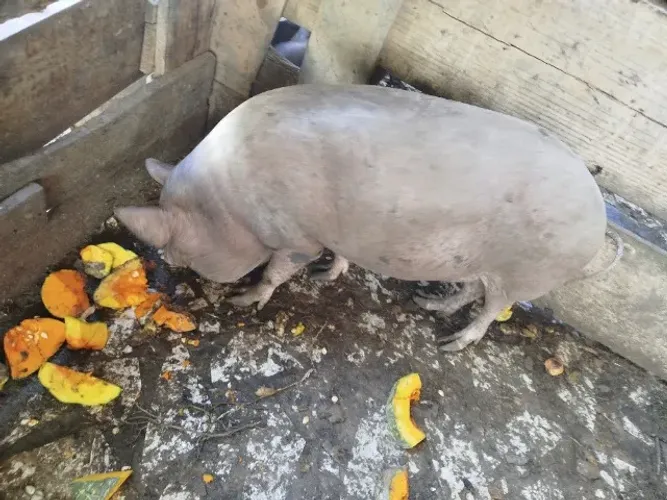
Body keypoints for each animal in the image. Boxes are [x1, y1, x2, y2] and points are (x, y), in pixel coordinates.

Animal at [116, 84, 614, 351]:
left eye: (180, 247)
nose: (167, 267)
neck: (228, 204)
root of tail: (599, 219)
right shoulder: (336, 232)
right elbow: (339, 257)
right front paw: (323, 277)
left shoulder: (297, 237)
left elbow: (277, 271)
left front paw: (245, 299)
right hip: (485, 264)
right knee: (474, 288)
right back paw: (429, 304)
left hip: (527, 271)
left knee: (493, 308)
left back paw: (450, 343)